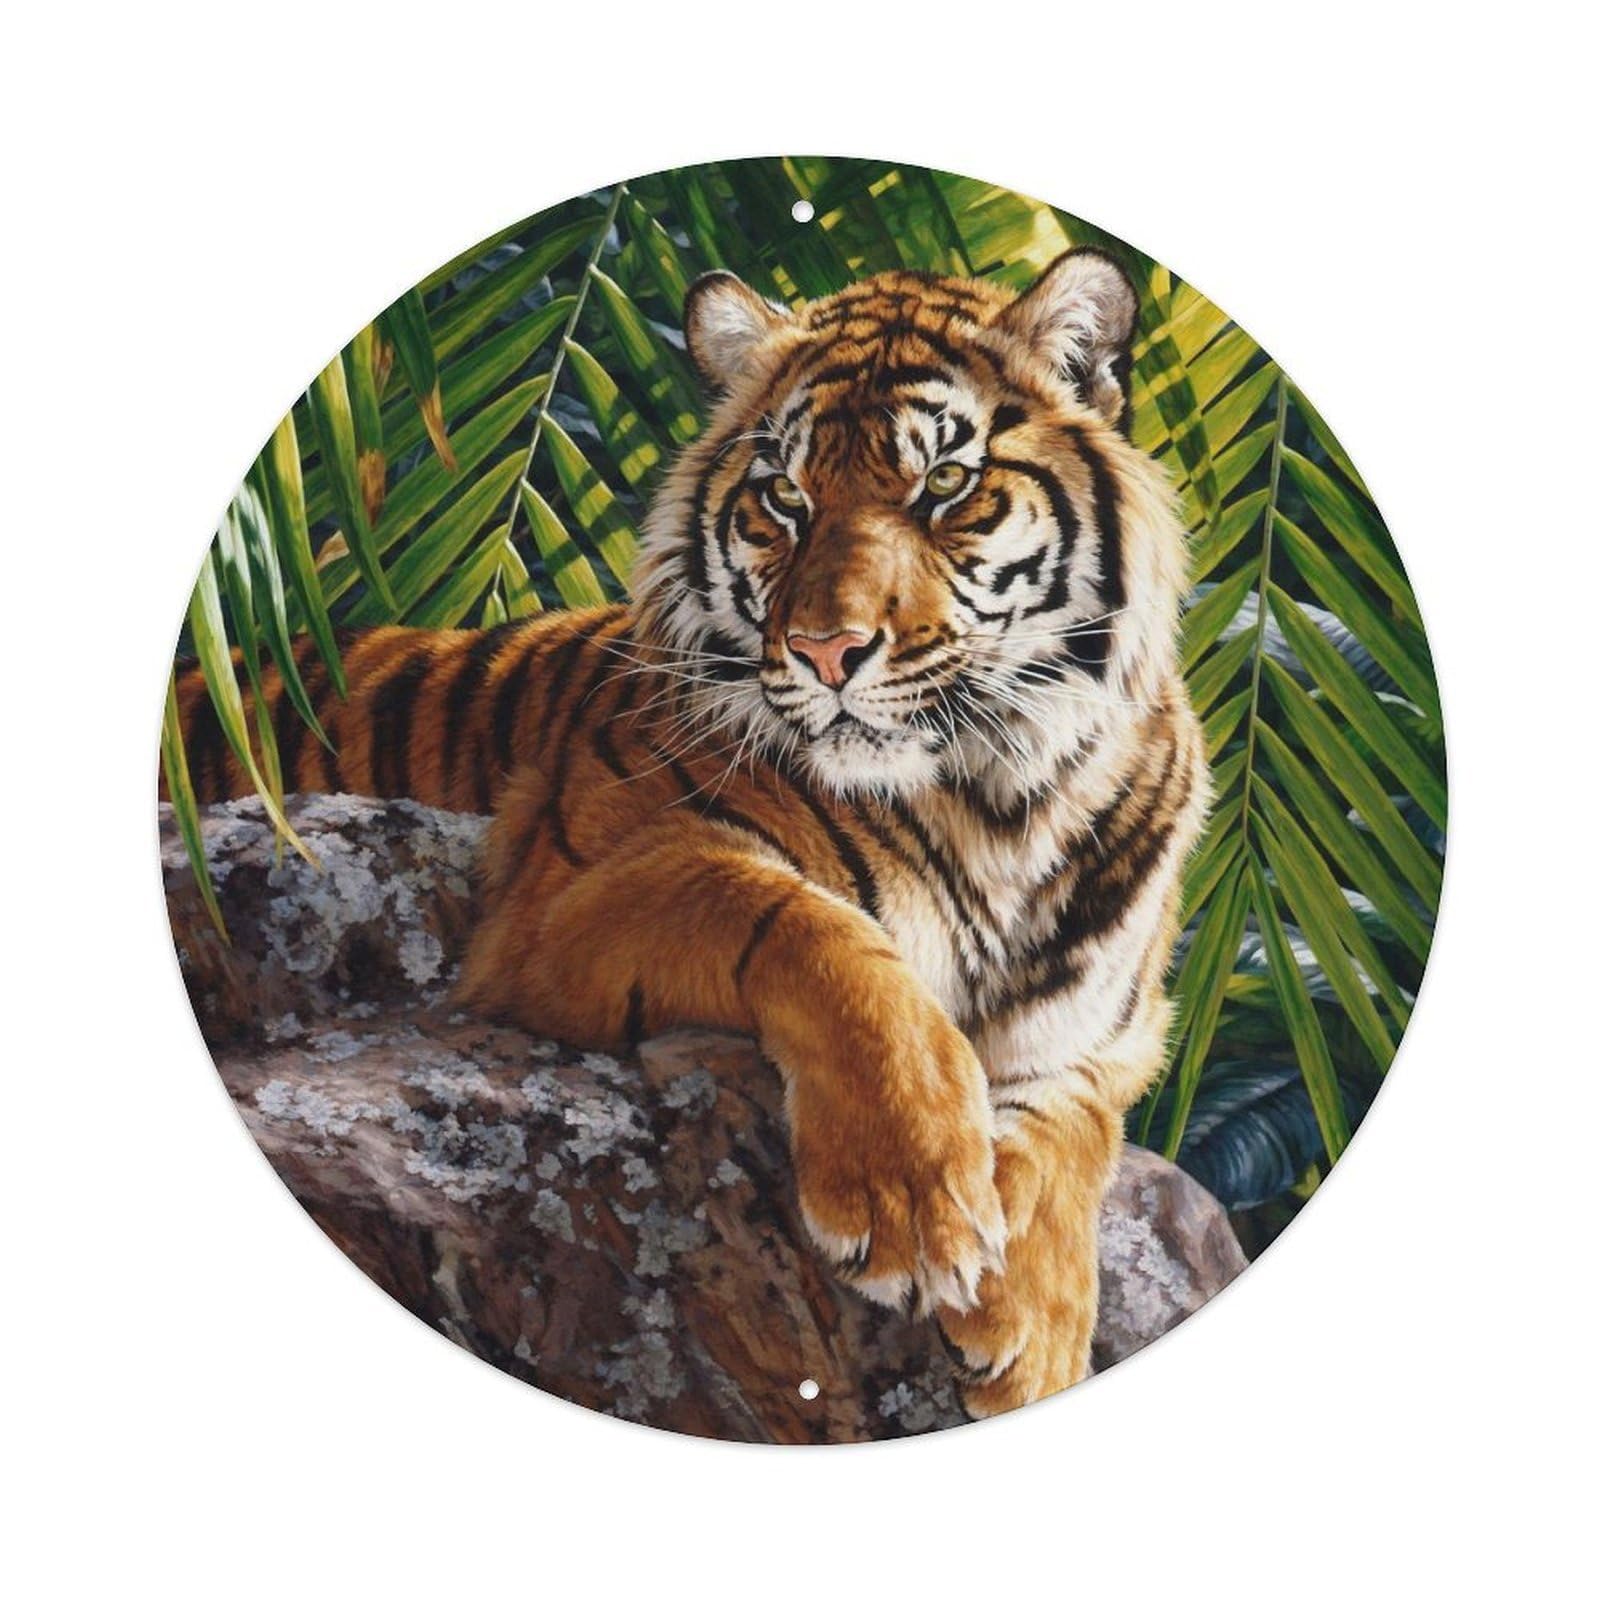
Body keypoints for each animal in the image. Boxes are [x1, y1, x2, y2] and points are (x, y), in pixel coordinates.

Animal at [173, 248, 1209, 1418]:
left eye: (944, 485)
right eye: (786, 497)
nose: (826, 650)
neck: (996, 795)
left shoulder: (1115, 1027)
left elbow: (1074, 1120)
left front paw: (1031, 1330)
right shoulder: (558, 901)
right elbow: (817, 932)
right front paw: (913, 1203)